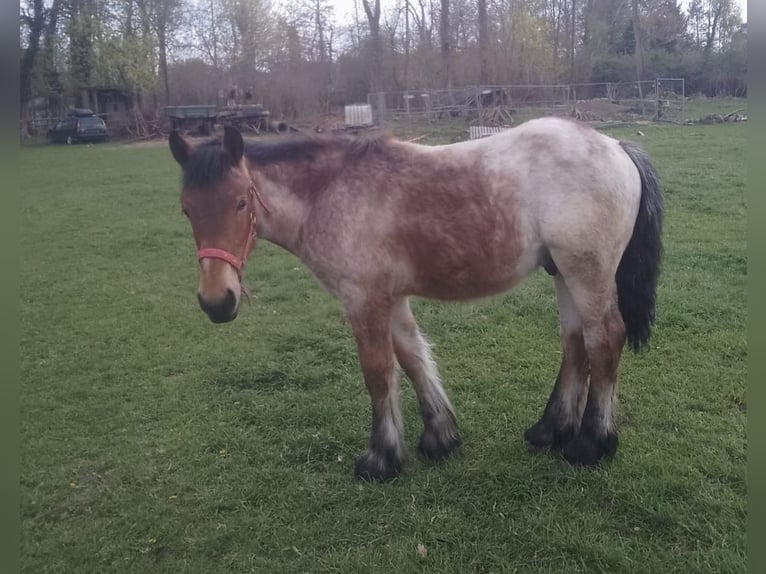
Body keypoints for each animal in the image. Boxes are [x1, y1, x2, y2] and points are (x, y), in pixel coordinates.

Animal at [168, 118, 662, 481]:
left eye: (240, 202)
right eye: (186, 209)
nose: (216, 301)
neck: (330, 194)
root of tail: (616, 146)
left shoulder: (363, 299)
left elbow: (378, 372)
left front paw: (381, 459)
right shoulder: (391, 298)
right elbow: (411, 356)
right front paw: (439, 437)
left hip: (587, 273)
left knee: (605, 340)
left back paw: (591, 444)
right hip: (563, 273)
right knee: (575, 343)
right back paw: (550, 430)